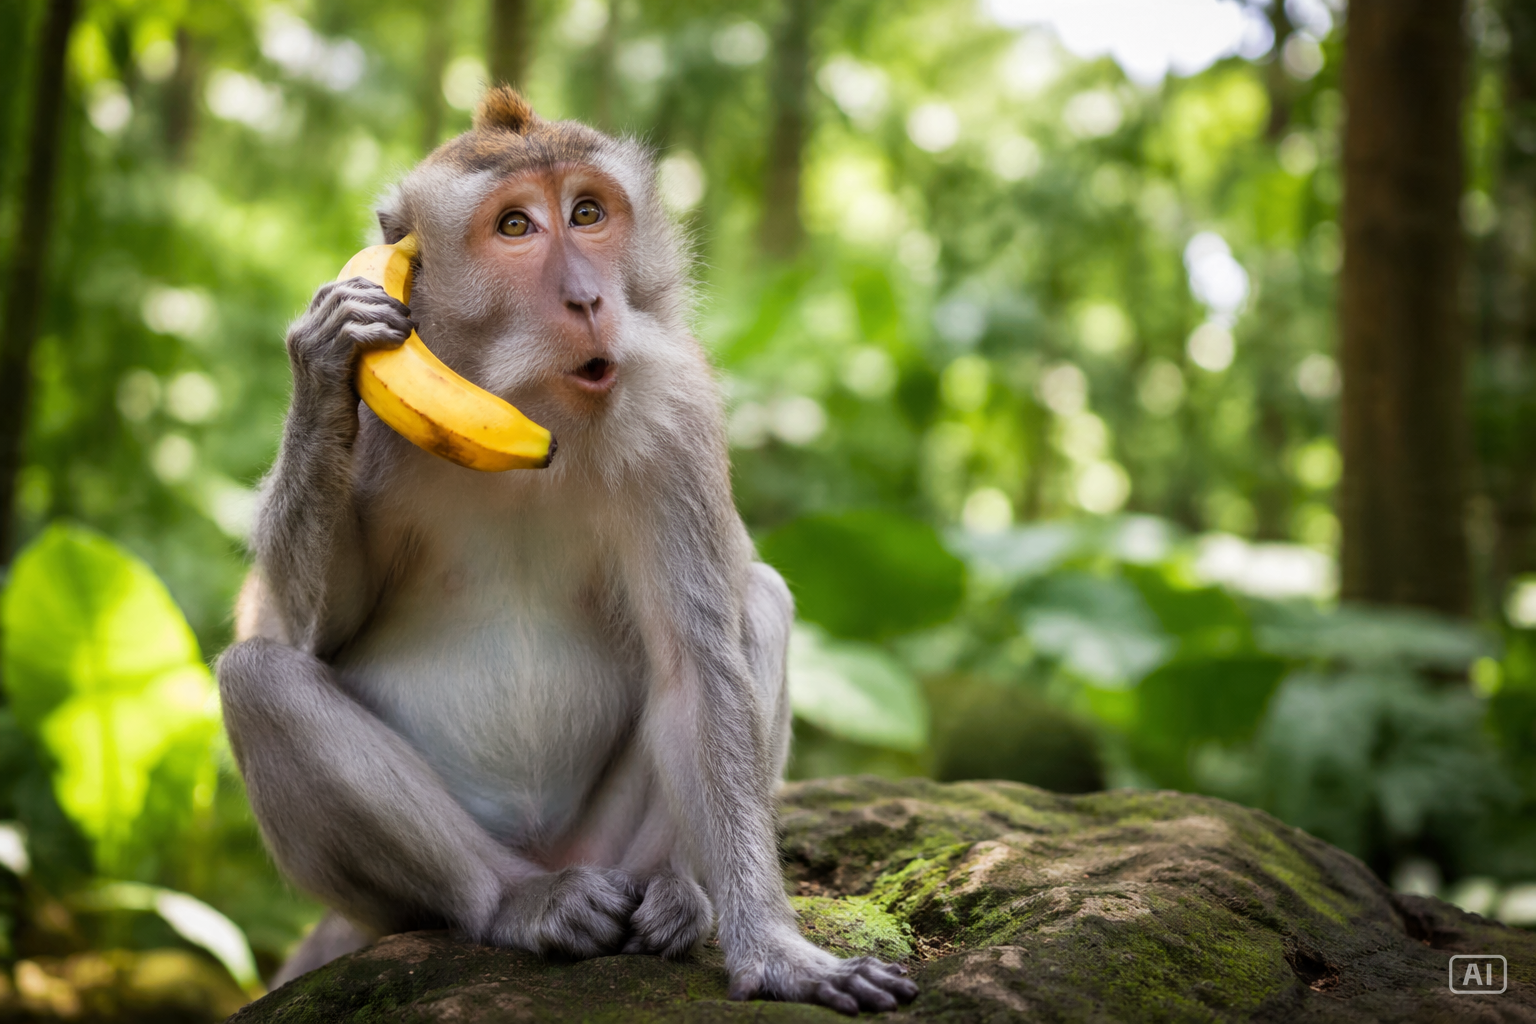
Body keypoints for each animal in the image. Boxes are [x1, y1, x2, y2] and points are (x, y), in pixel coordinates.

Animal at [217, 86, 918, 1015]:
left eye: (588, 214)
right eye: (515, 226)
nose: (588, 298)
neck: (534, 409)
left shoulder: (682, 417)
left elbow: (695, 667)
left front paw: (775, 952)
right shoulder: (377, 423)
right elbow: (308, 631)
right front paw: (324, 355)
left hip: (606, 841)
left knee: (757, 602)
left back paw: (677, 891)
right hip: (401, 899)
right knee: (259, 678)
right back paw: (517, 903)